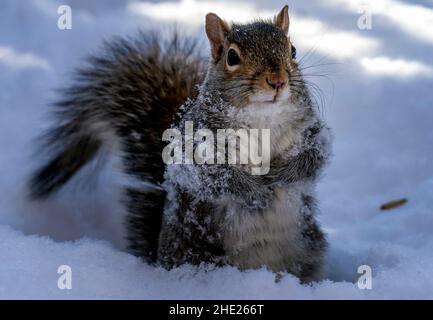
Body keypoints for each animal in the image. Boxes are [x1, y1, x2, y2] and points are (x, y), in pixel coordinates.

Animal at [27, 6, 330, 282]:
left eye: (292, 50)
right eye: (232, 56)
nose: (277, 81)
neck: (262, 117)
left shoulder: (310, 132)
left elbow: (313, 158)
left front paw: (286, 173)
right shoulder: (197, 145)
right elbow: (216, 176)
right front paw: (254, 191)